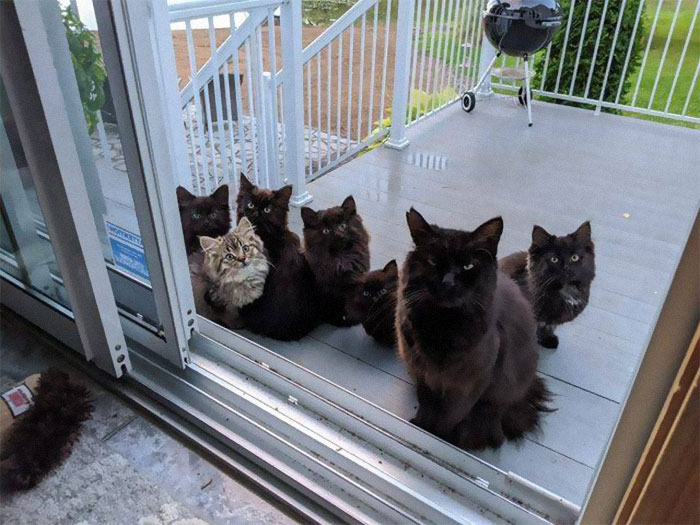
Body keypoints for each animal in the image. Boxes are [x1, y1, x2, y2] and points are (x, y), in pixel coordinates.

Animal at [300, 195, 370, 326]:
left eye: (342, 225)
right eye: (326, 231)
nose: (338, 234)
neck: (341, 260)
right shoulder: (328, 291)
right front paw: (345, 320)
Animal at [396, 209, 548, 450]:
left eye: (468, 266)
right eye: (433, 261)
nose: (448, 282)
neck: (442, 326)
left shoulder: (469, 384)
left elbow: (450, 415)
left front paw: (438, 437)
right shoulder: (422, 373)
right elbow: (426, 403)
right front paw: (420, 425)